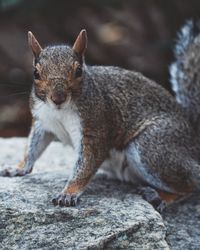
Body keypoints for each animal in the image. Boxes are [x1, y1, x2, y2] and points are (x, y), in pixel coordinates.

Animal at [0, 27, 200, 211]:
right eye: (36, 73)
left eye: (78, 71)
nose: (58, 98)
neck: (60, 111)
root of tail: (194, 138)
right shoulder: (43, 122)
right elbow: (32, 148)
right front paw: (18, 167)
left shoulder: (95, 126)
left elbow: (86, 163)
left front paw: (68, 193)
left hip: (153, 148)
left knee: (191, 183)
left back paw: (160, 197)